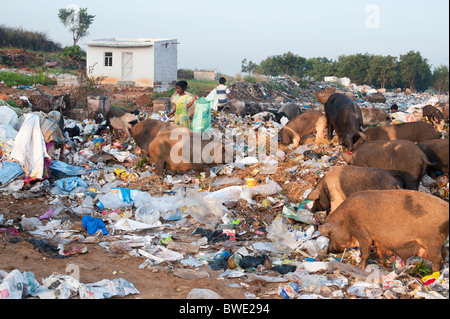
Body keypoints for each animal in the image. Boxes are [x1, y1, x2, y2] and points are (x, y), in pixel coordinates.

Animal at [318, 190, 448, 272]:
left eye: (330, 235)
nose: (329, 250)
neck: (346, 219)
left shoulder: (363, 233)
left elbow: (365, 251)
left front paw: (360, 267)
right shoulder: (377, 239)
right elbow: (380, 251)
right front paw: (382, 264)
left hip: (433, 243)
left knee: (438, 259)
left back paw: (432, 274)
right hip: (438, 243)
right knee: (445, 254)